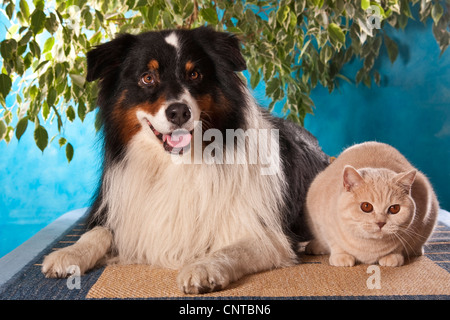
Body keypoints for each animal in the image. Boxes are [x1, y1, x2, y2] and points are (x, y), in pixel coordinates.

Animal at [41, 26, 330, 294]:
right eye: (147, 77)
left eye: (194, 74)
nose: (179, 112)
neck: (175, 164)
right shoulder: (123, 213)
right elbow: (98, 232)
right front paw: (69, 253)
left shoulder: (268, 234)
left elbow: (232, 249)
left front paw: (203, 268)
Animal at [304, 141, 438, 266]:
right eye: (366, 206)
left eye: (394, 208)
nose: (380, 223)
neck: (369, 246)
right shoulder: (321, 221)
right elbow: (333, 241)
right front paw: (341, 256)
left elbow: (401, 244)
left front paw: (392, 256)